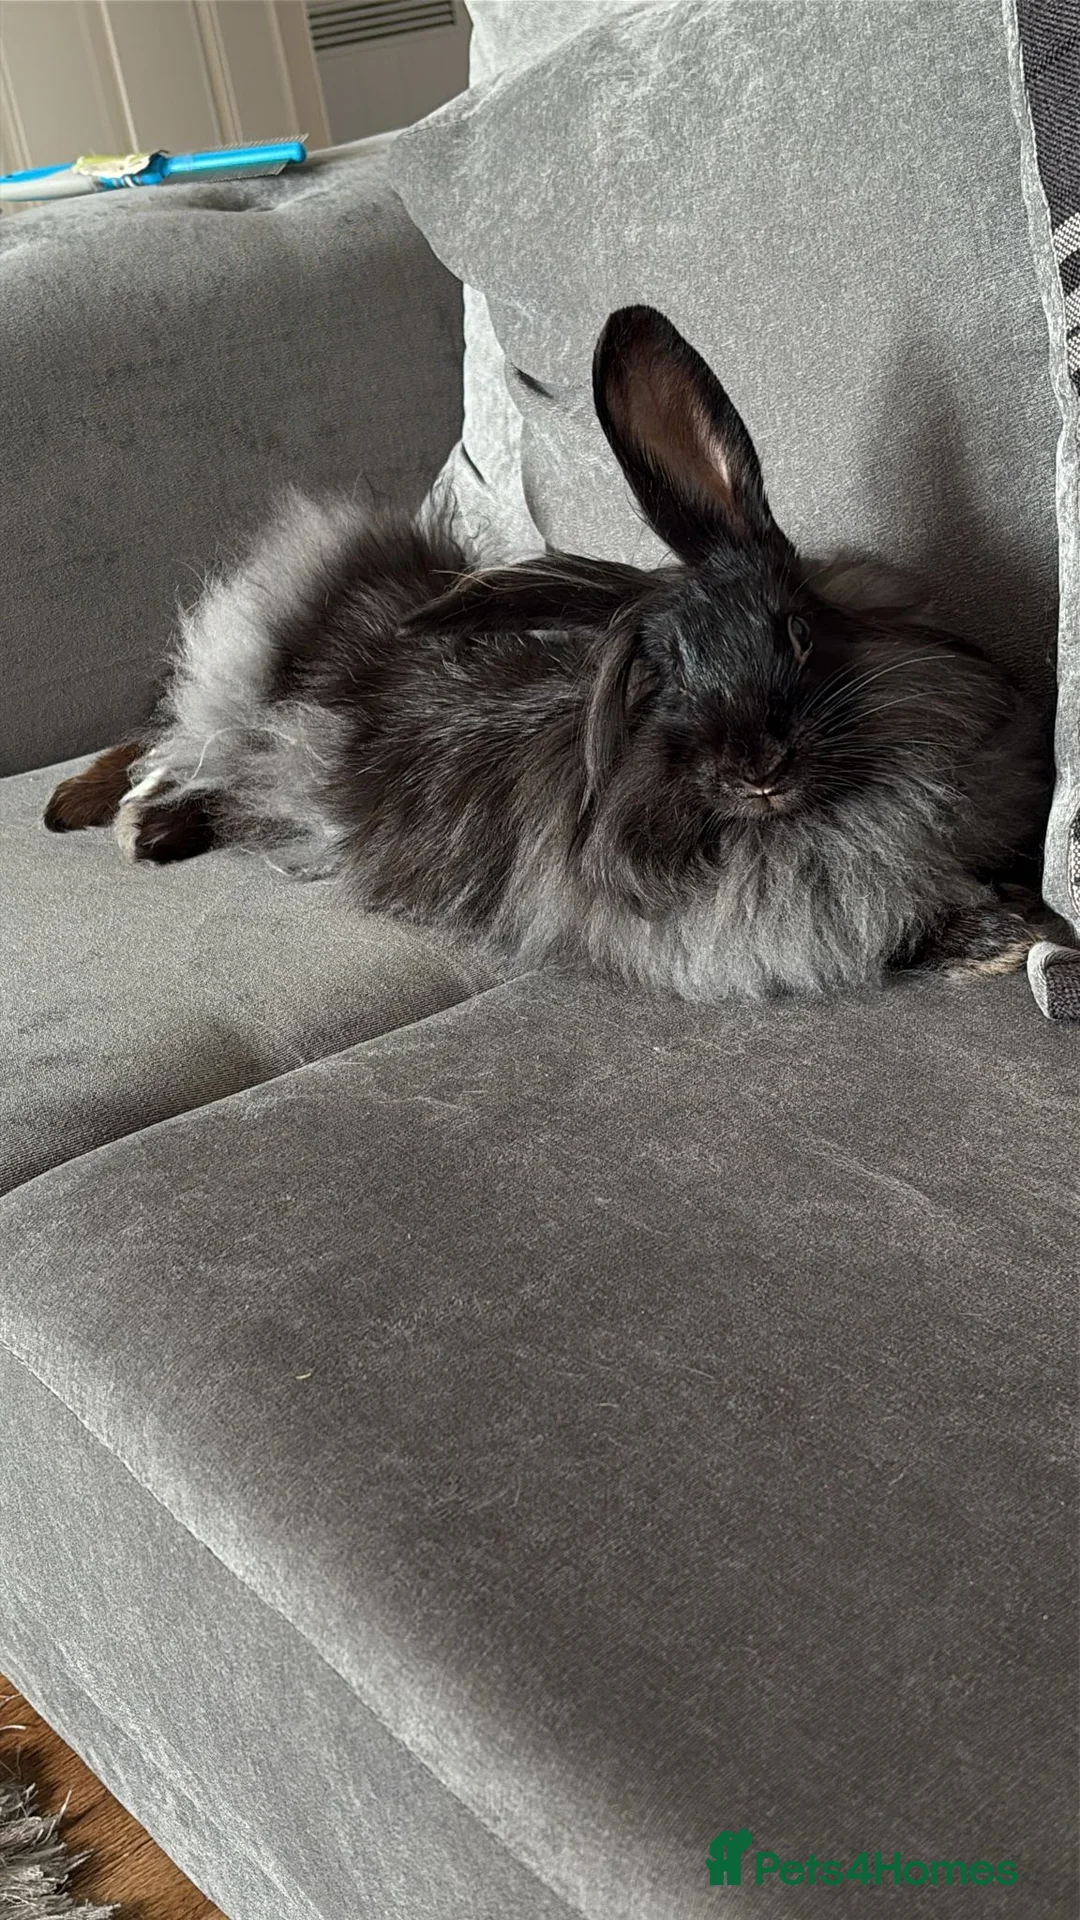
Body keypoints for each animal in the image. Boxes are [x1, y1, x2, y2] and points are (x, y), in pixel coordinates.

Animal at [45, 304, 1050, 1001]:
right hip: (242, 689)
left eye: (799, 634)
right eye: (663, 681)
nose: (756, 769)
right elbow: (901, 936)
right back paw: (125, 823)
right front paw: (1009, 943)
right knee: (168, 750)